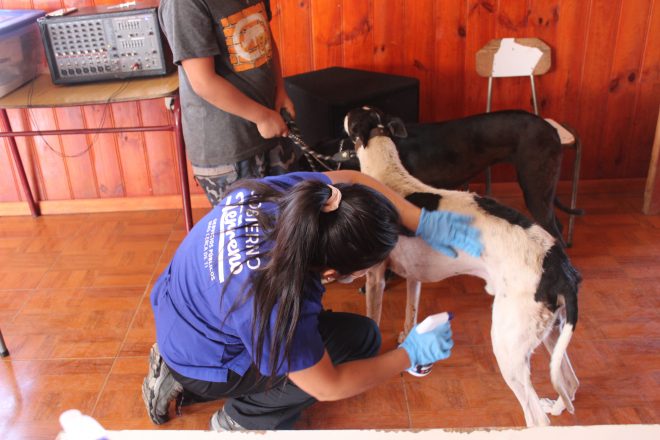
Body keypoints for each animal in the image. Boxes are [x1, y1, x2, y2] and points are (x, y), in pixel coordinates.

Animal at [348, 106, 580, 426]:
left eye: (353, 116)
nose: (345, 114)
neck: (389, 173)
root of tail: (559, 266)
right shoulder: (414, 275)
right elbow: (411, 312)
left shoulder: (375, 278)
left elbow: (373, 317)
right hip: (551, 331)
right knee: (570, 382)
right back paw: (557, 406)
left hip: (508, 346)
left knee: (537, 418)